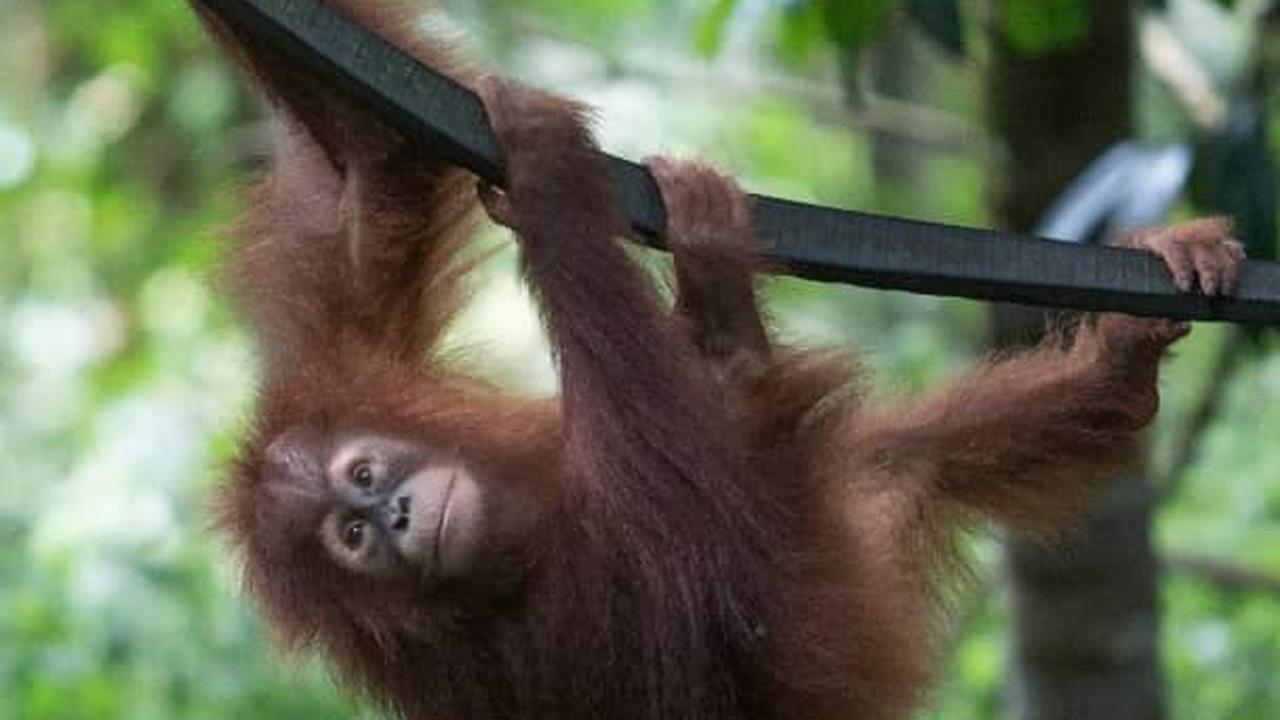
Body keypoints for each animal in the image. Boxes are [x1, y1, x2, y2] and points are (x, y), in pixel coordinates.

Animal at [192, 2, 1245, 719]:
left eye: (365, 476)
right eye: (353, 540)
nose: (397, 517)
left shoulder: (343, 367)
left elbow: (369, 172)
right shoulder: (496, 659)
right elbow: (681, 592)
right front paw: (545, 175)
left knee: (900, 453)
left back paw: (1122, 363)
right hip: (819, 634)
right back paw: (723, 331)